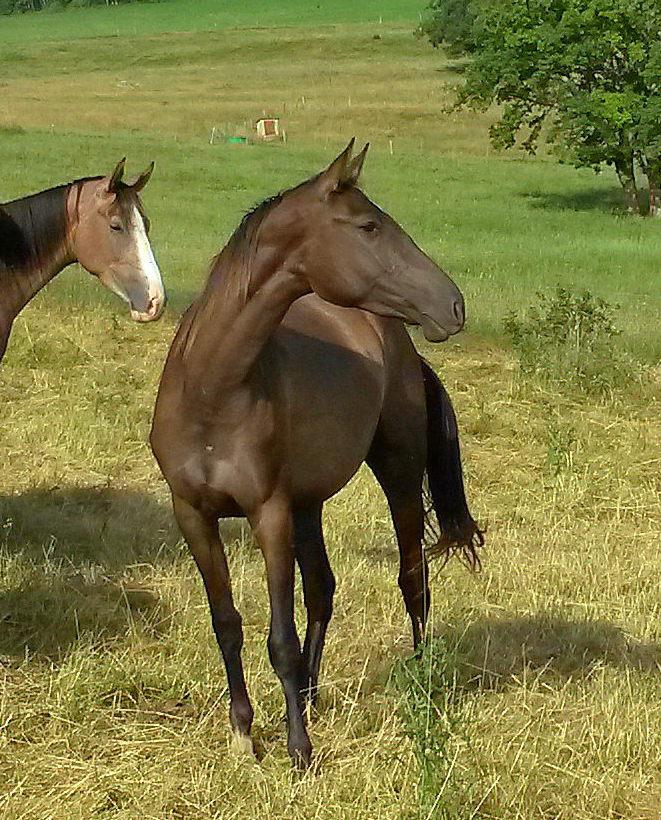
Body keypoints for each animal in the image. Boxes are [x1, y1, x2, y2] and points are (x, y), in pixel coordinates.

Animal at [150, 140, 483, 768]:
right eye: (369, 226)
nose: (453, 305)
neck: (213, 389)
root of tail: (395, 339)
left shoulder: (269, 515)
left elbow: (278, 637)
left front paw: (299, 749)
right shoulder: (194, 516)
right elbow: (227, 623)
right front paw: (244, 732)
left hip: (397, 473)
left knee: (413, 578)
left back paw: (422, 684)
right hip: (309, 503)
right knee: (323, 589)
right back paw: (306, 690)